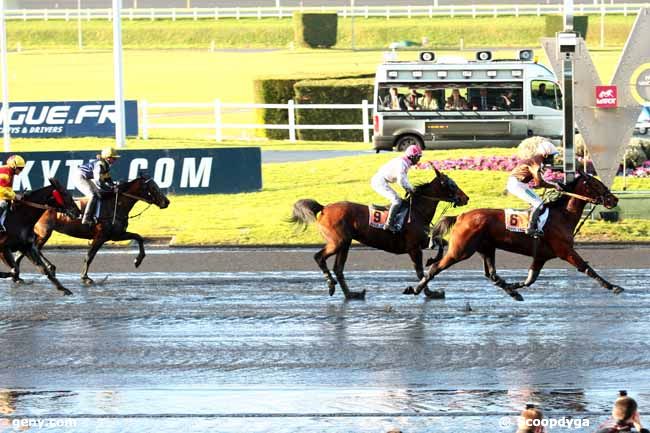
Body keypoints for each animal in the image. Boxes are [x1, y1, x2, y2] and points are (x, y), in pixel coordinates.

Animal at [14, 172, 170, 284]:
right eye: (153, 187)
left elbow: (139, 237)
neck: (116, 204)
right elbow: (90, 256)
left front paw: (138, 260)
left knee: (30, 249)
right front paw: (85, 277)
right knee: (33, 248)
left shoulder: (116, 234)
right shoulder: (101, 236)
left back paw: (26, 273)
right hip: (44, 232)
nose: (167, 202)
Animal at [288, 167, 466, 298]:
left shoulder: (421, 242)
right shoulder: (414, 248)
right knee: (319, 257)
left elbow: (441, 242)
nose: (466, 198)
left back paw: (352, 294)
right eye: (452, 184)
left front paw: (432, 261)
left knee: (338, 269)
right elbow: (420, 271)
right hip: (337, 242)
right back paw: (331, 284)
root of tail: (324, 208)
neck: (417, 211)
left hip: (345, 244)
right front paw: (429, 292)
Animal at [410, 167, 624, 302]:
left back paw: (512, 293)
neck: (562, 215)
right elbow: (587, 268)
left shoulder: (541, 256)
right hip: (461, 250)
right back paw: (417, 288)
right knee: (436, 267)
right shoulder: (565, 251)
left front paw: (514, 287)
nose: (614, 199)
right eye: (595, 183)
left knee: (492, 274)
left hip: (486, 248)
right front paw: (614, 286)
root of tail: (461, 215)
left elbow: (530, 279)